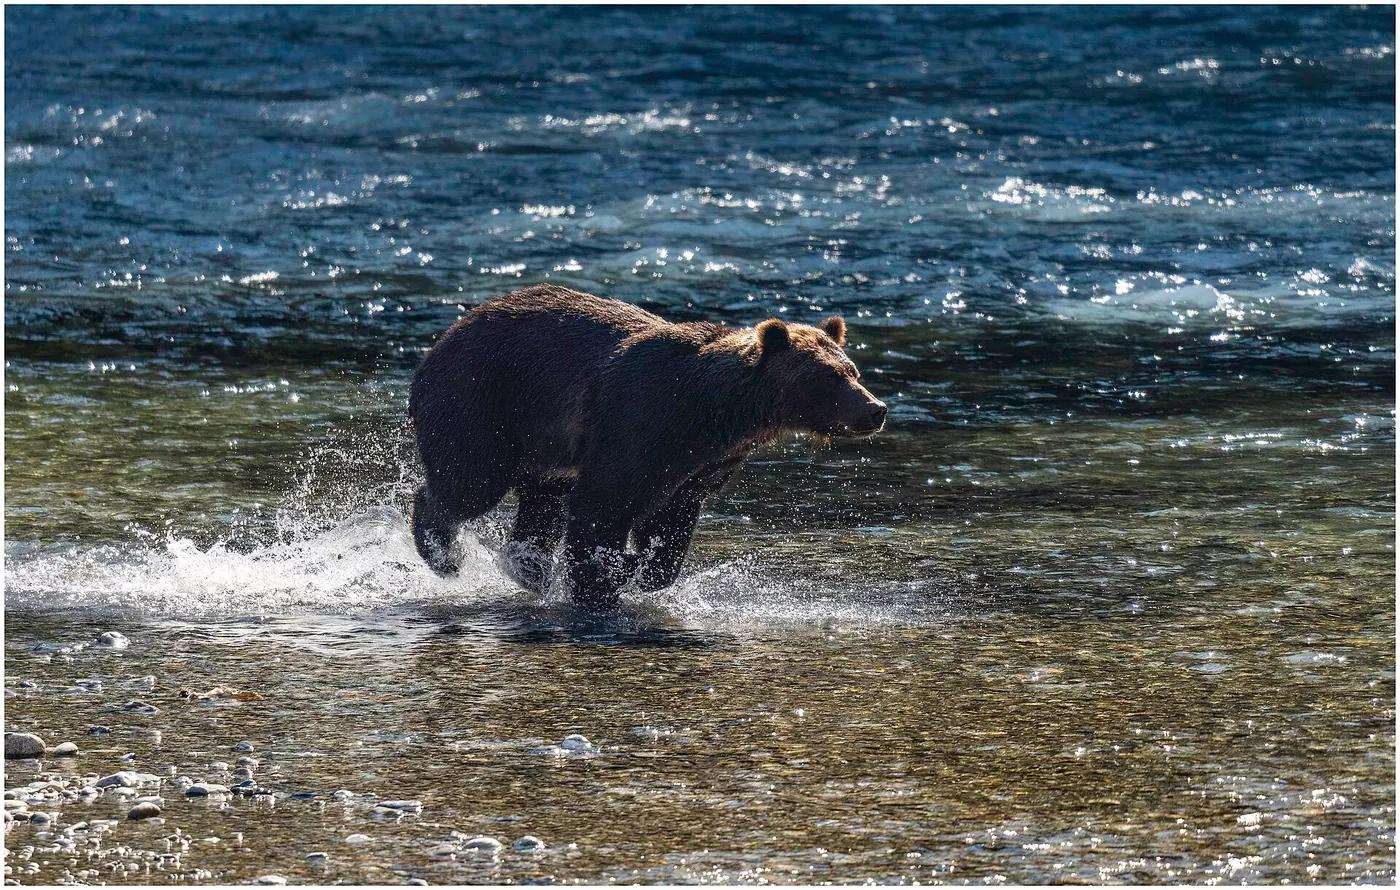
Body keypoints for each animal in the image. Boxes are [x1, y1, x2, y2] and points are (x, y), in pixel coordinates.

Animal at [409, 284, 887, 608]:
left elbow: (670, 524)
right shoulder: (642, 420)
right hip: (483, 400)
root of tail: (442, 338)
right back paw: (446, 554)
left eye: (853, 370)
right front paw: (603, 578)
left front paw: (639, 570)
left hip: (544, 444)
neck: (717, 412)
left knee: (540, 503)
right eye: (828, 376)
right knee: (468, 481)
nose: (876, 409)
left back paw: (531, 568)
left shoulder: (701, 465)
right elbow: (606, 501)